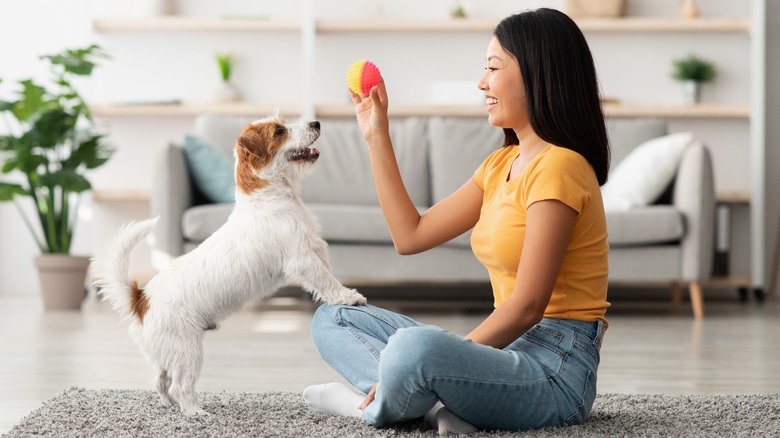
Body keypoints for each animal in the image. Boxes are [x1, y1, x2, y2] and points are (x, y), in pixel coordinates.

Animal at [92, 114, 368, 416]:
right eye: (279, 131)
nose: (316, 123)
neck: (269, 197)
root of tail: (141, 299)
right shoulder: (303, 259)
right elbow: (326, 281)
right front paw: (349, 297)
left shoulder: (316, 249)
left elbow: (328, 273)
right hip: (188, 351)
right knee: (180, 386)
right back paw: (195, 413)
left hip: (168, 353)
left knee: (160, 380)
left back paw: (169, 405)